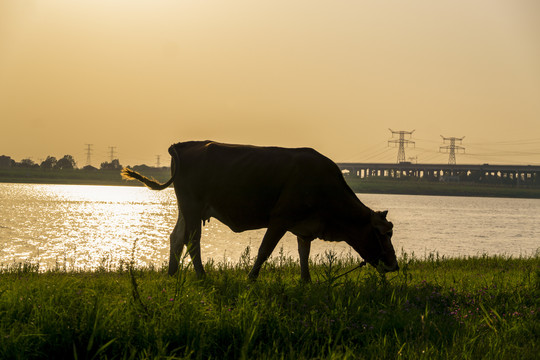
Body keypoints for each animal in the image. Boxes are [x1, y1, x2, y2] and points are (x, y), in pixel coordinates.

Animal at [122, 141, 398, 282]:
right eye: (383, 234)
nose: (395, 265)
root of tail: (184, 145)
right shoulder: (280, 219)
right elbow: (265, 250)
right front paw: (251, 279)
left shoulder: (305, 226)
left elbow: (304, 254)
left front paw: (306, 281)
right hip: (192, 206)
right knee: (192, 241)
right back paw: (201, 277)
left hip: (186, 209)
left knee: (176, 237)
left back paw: (172, 275)